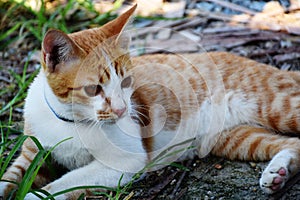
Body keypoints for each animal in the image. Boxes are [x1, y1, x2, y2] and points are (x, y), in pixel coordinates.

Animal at [0, 3, 300, 199]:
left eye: (126, 82)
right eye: (93, 89)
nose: (122, 109)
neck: (70, 122)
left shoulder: (123, 163)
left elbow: (64, 183)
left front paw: (35, 196)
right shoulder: (32, 154)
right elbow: (10, 178)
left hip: (278, 107)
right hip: (232, 138)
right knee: (291, 144)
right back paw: (278, 173)